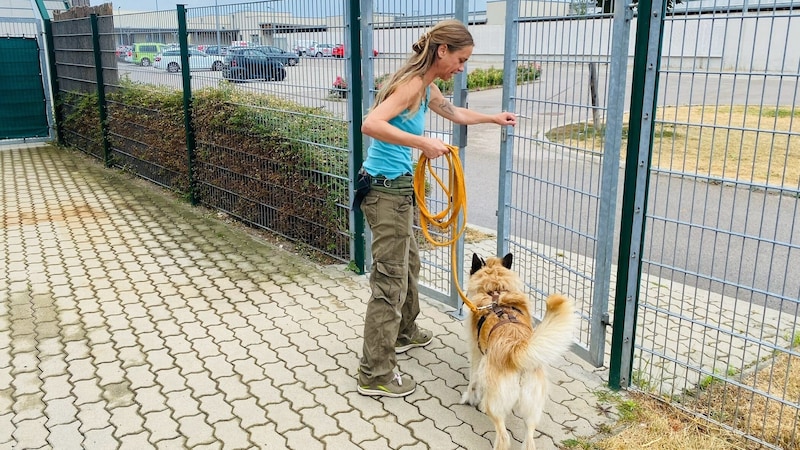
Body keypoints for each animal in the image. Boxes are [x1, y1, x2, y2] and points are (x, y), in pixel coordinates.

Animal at [460, 253, 580, 450]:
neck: (495, 289)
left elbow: (473, 381)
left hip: (495, 404)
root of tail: (515, 352)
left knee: (503, 437)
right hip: (532, 410)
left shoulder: (476, 354)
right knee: (529, 440)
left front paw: (469, 399)